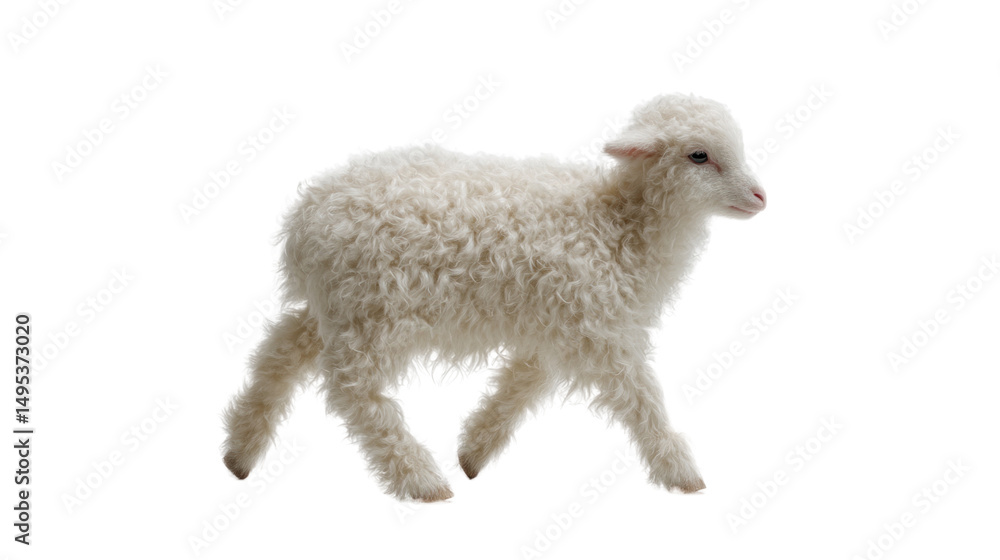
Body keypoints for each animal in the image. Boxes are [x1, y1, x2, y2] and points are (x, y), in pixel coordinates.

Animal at [222, 93, 766, 502]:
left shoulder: (561, 325)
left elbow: (519, 386)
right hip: (377, 309)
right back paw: (420, 479)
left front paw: (475, 452)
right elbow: (641, 398)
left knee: (282, 349)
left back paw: (240, 452)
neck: (618, 222)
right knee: (351, 388)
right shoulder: (600, 329)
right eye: (698, 155)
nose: (761, 197)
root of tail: (307, 220)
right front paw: (681, 472)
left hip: (339, 304)